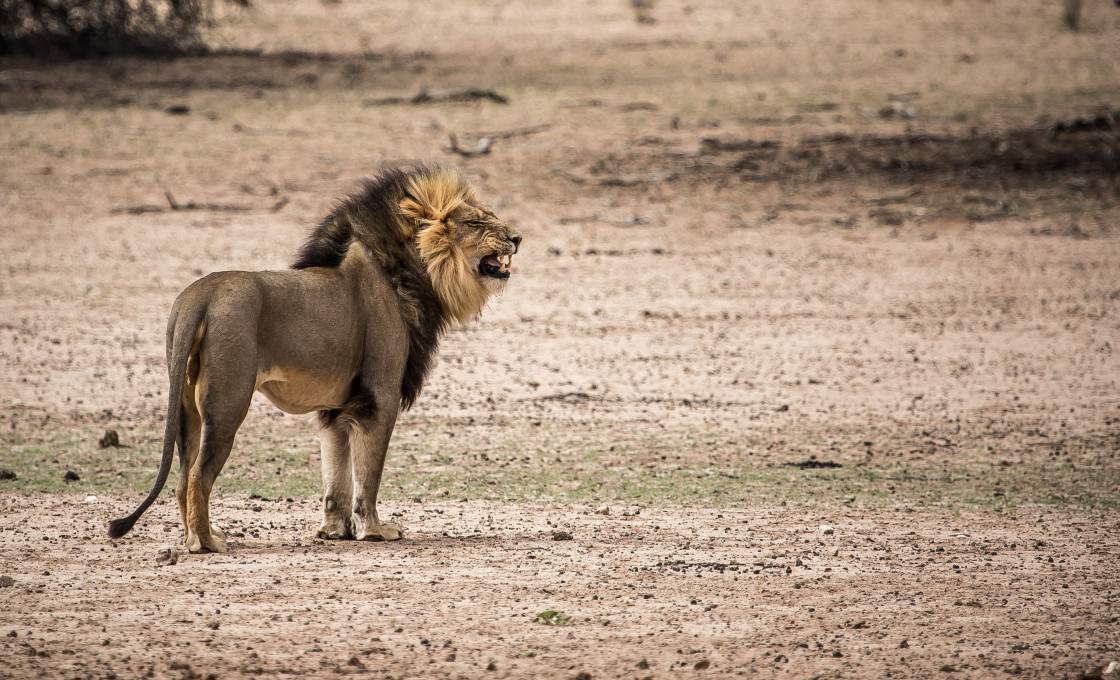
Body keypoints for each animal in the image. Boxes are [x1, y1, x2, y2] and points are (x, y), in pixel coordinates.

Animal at [106, 164, 521, 553]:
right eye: (475, 222)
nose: (517, 238)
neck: (410, 272)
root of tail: (198, 296)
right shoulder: (380, 397)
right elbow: (368, 477)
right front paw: (375, 530)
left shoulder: (337, 407)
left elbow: (336, 476)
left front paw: (335, 531)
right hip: (228, 402)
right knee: (197, 475)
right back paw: (207, 542)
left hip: (187, 406)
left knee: (181, 478)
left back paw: (200, 535)